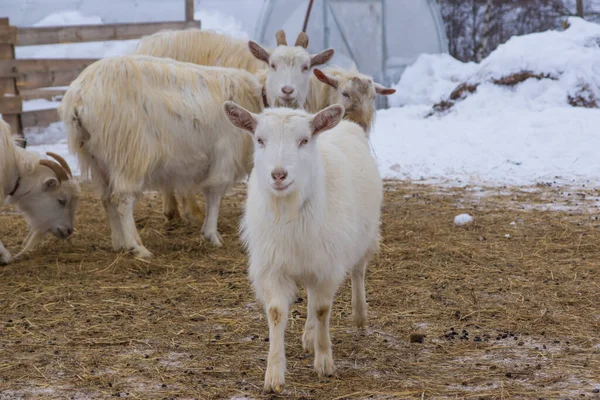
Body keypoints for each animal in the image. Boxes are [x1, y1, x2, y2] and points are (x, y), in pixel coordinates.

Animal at [59, 55, 264, 256]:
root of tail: (79, 96)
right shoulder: (225, 155)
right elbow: (215, 196)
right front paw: (212, 235)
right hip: (128, 153)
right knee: (122, 199)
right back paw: (137, 247)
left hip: (98, 160)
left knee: (107, 199)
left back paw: (119, 243)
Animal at [223, 101, 382, 394]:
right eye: (260, 140)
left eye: (304, 140)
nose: (278, 174)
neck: (289, 209)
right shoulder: (273, 267)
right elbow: (277, 313)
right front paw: (274, 375)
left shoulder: (327, 265)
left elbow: (322, 310)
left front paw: (324, 362)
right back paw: (308, 334)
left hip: (363, 236)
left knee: (358, 272)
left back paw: (359, 315)